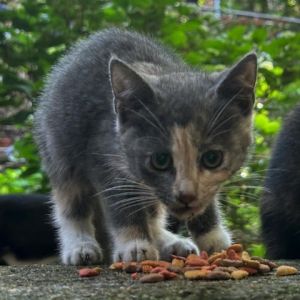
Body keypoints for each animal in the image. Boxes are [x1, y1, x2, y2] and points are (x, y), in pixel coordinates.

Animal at [34, 28, 256, 264]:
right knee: (71, 201)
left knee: (152, 210)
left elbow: (205, 198)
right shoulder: (103, 153)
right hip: (59, 146)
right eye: (160, 160)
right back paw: (80, 245)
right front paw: (134, 244)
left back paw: (169, 241)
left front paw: (213, 237)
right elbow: (122, 202)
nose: (186, 196)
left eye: (212, 158)